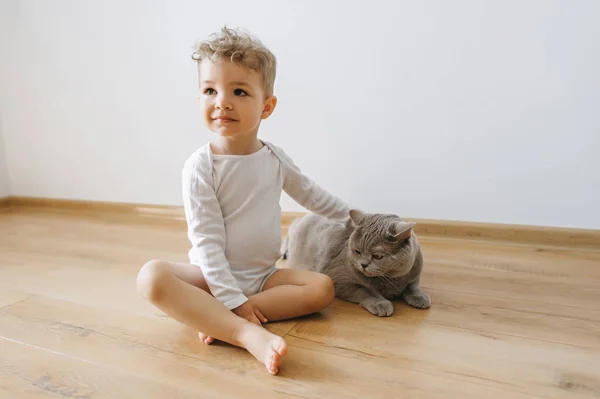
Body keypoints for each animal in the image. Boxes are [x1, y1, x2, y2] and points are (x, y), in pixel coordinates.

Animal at [282, 211, 428, 318]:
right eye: (357, 251)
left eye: (378, 256)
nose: (363, 265)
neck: (390, 279)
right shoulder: (339, 279)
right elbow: (365, 290)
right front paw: (380, 303)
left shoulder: (414, 272)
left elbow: (413, 286)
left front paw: (420, 296)